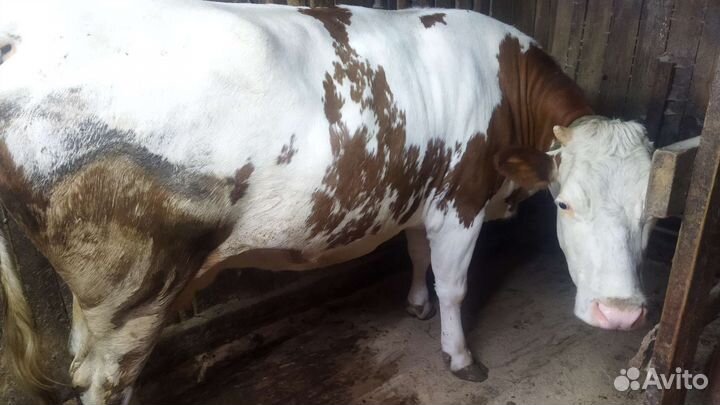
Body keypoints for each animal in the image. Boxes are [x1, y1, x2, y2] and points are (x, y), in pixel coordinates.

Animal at [0, 1, 653, 404]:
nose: (620, 314)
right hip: (133, 292)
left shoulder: (421, 194)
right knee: (104, 380)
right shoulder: (460, 200)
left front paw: (414, 304)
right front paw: (460, 355)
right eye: (565, 204)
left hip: (97, 296)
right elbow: (454, 285)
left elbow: (417, 255)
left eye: (648, 213)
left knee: (79, 360)